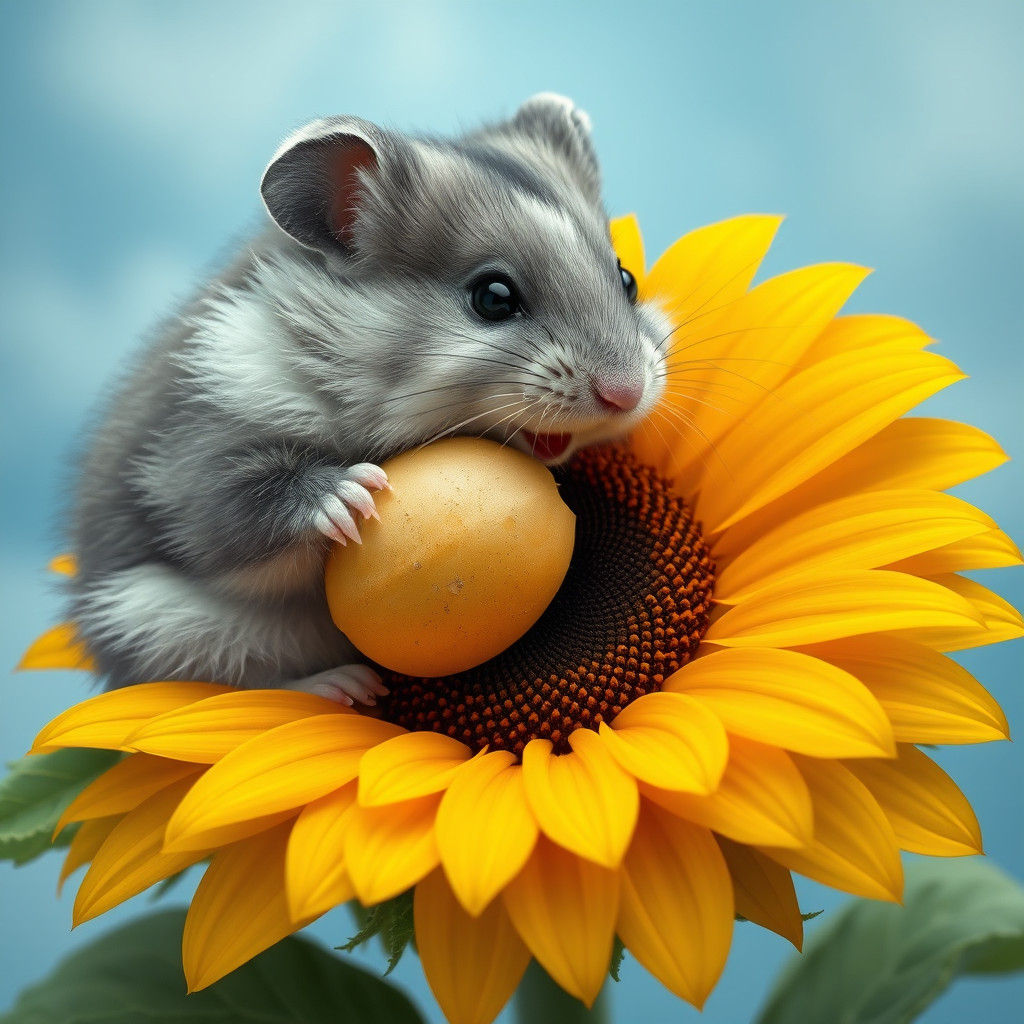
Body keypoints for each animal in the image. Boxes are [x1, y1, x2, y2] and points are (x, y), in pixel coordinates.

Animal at [66, 93, 671, 705]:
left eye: (626, 280)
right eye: (493, 298)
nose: (627, 395)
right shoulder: (189, 459)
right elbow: (236, 503)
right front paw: (353, 496)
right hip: (153, 622)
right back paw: (343, 685)